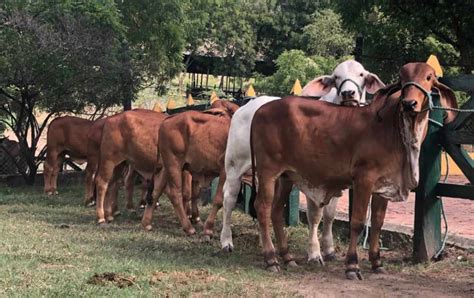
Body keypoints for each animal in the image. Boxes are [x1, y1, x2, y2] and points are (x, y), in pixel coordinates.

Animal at [140, 100, 237, 237]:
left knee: (156, 191)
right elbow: (219, 200)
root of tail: (167, 120)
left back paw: (146, 223)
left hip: (165, 166)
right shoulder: (225, 171)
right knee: (175, 193)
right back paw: (188, 227)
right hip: (174, 163)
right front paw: (208, 228)